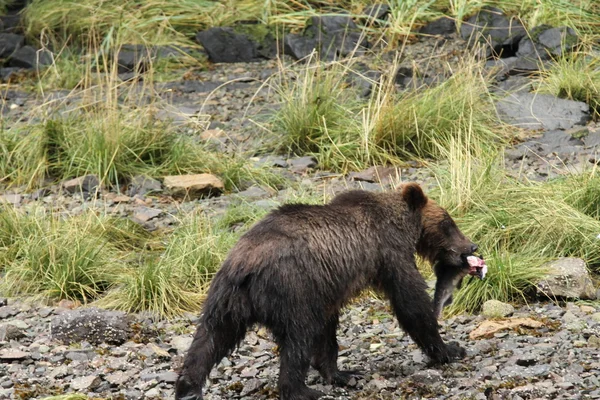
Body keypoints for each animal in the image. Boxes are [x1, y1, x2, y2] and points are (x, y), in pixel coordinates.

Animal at [173, 182, 478, 400]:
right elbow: (411, 302)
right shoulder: (388, 253)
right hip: (289, 287)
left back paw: (188, 388)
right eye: (448, 223)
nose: (471, 246)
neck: (400, 224)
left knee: (210, 338)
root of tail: (245, 265)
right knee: (298, 338)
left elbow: (327, 332)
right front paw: (450, 348)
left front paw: (342, 373)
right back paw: (302, 391)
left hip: (226, 296)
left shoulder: (326, 287)